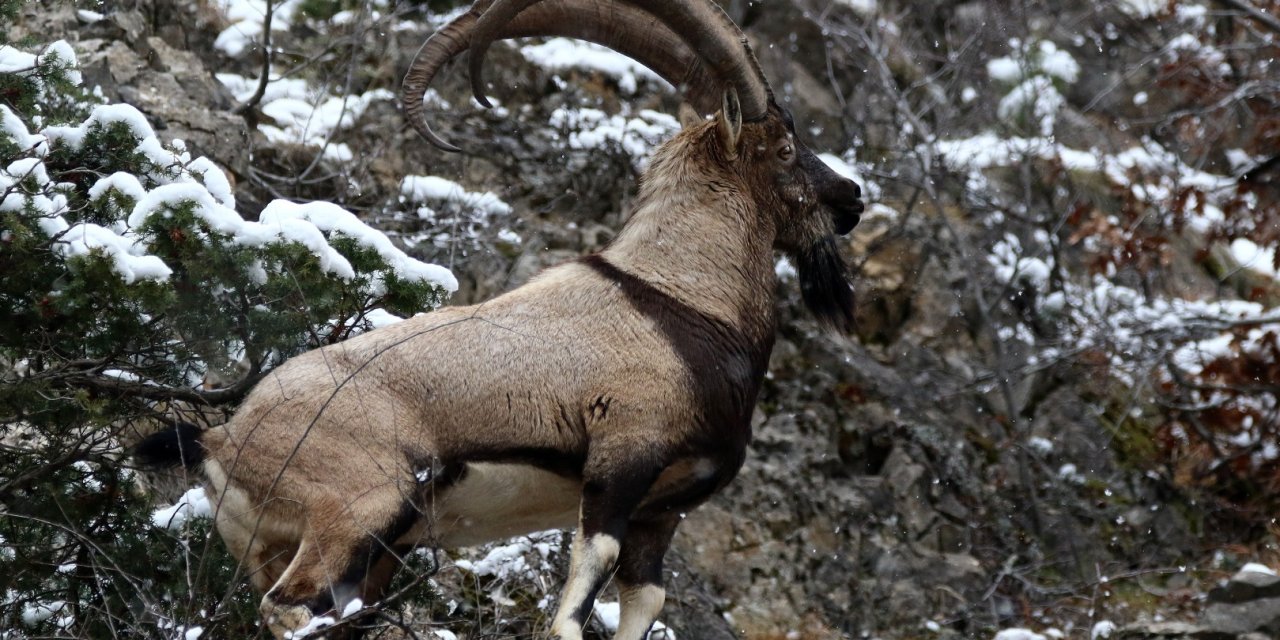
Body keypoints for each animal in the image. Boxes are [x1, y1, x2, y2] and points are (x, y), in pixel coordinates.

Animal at [135, 2, 865, 637]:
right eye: (784, 147)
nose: (852, 198)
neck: (682, 299)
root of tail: (222, 438)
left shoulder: (662, 514)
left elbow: (645, 599)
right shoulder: (622, 462)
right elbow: (577, 600)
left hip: (353, 553)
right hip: (360, 508)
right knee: (290, 608)